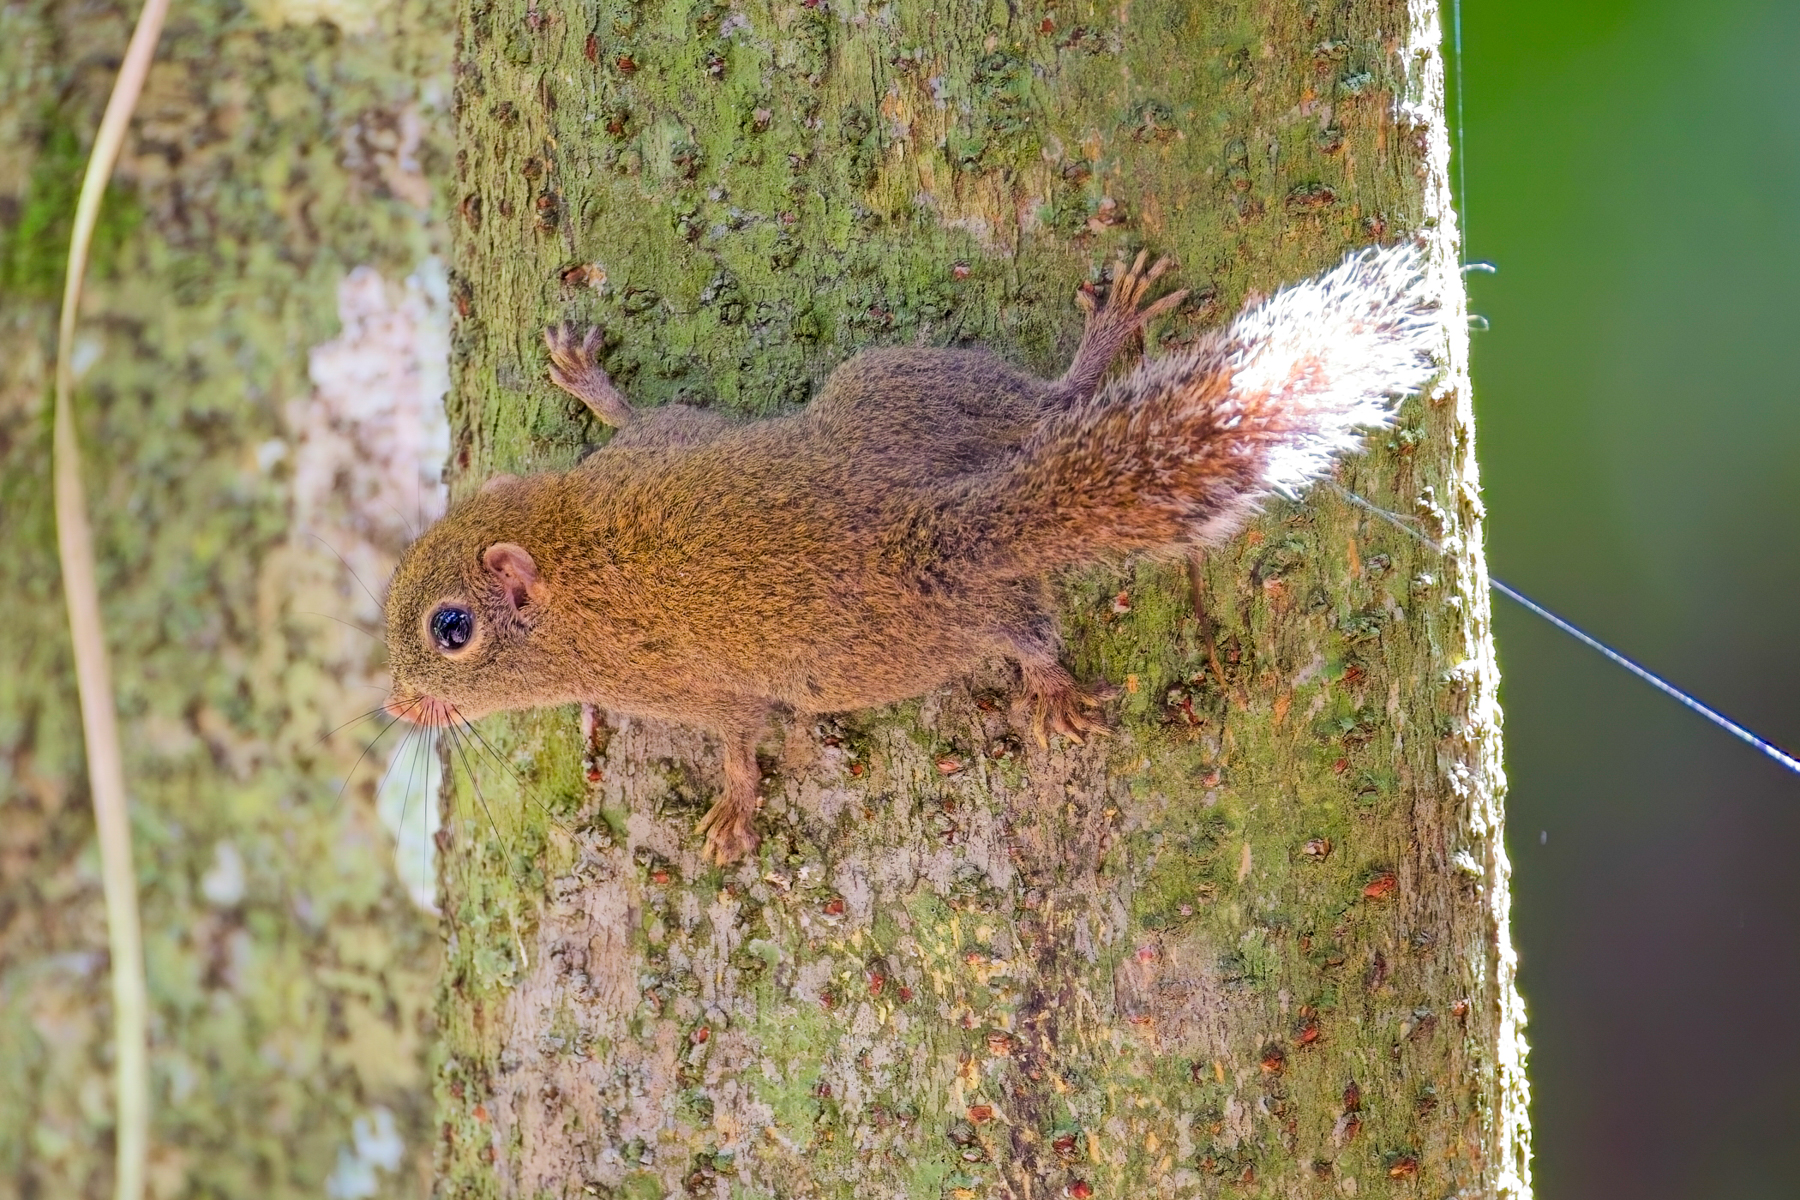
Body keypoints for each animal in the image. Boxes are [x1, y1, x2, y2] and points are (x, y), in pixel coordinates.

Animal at [382, 244, 1440, 864]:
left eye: (451, 629)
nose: (396, 705)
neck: (575, 554)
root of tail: (932, 524)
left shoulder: (690, 685)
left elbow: (739, 739)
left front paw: (731, 809)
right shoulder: (656, 448)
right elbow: (645, 415)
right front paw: (586, 377)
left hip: (908, 454)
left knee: (1037, 557)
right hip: (923, 400)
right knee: (1039, 429)